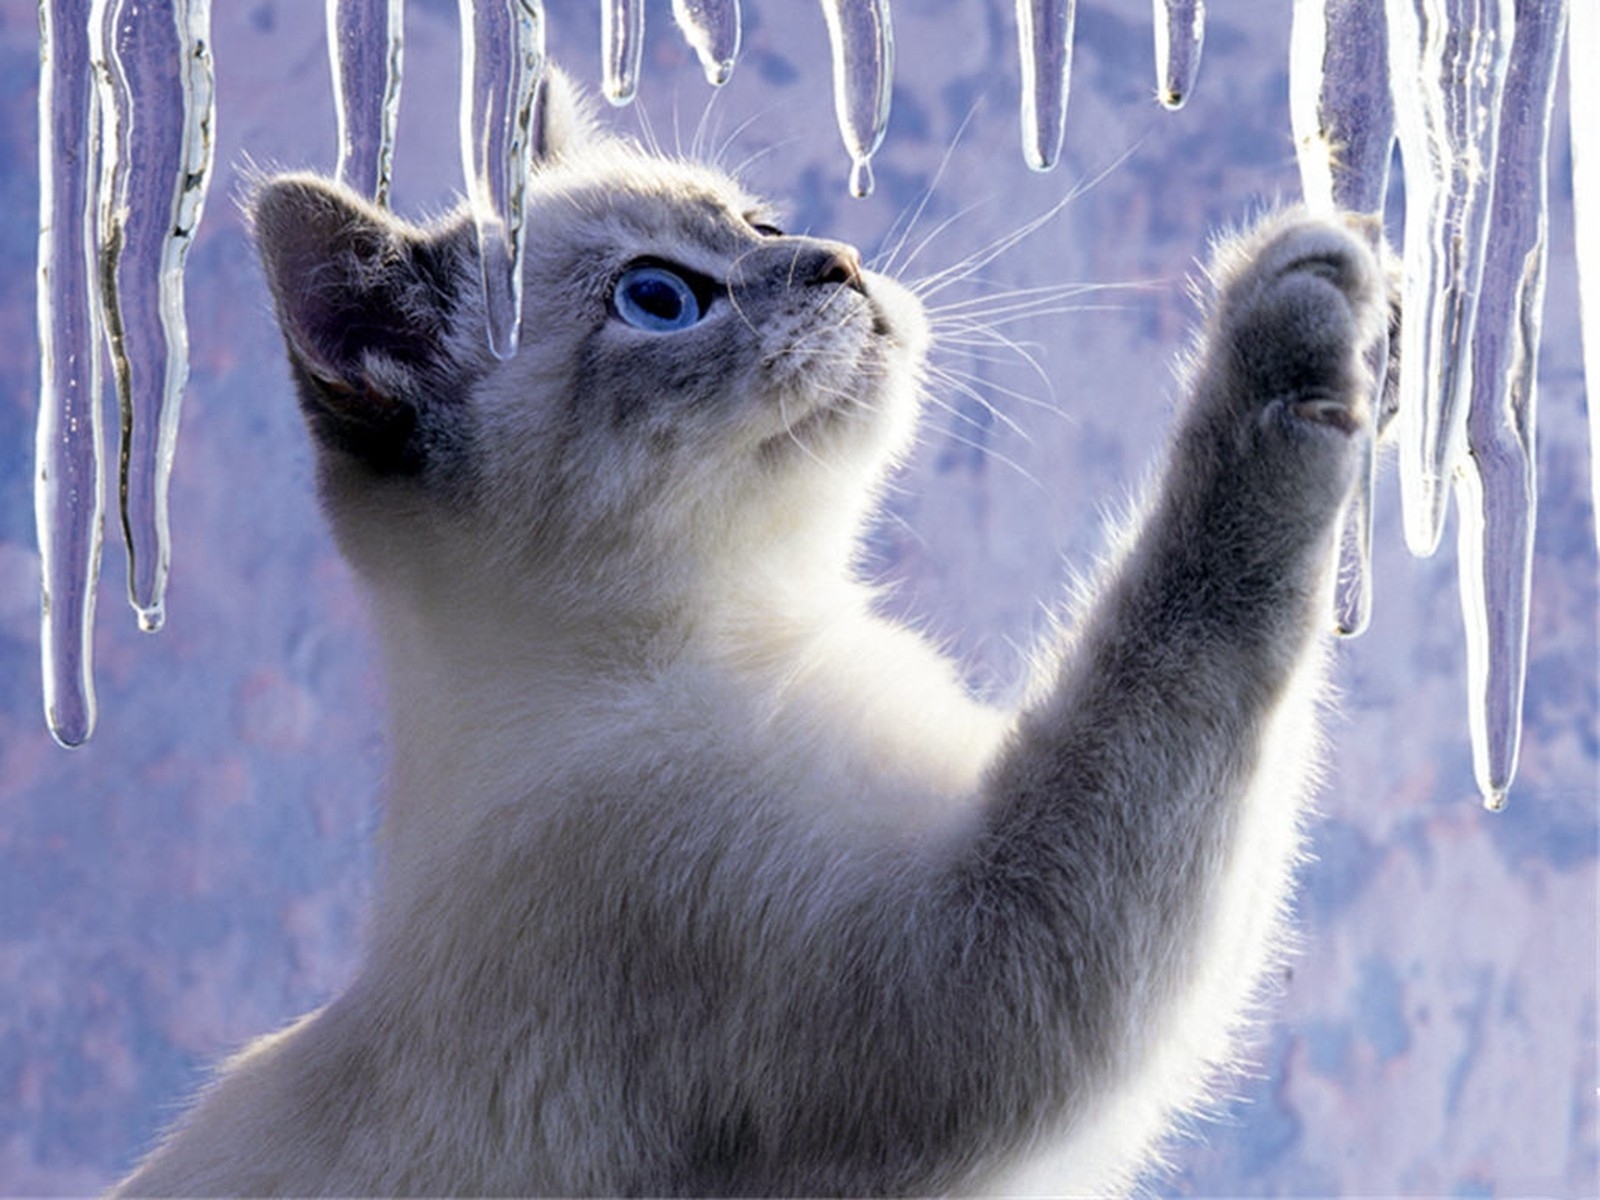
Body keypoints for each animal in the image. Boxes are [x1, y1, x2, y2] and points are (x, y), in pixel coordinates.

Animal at [116, 70, 1388, 1196]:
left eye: (759, 224)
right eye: (659, 300)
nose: (838, 261)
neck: (748, 631)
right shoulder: (980, 965)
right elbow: (1186, 619)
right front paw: (1296, 306)